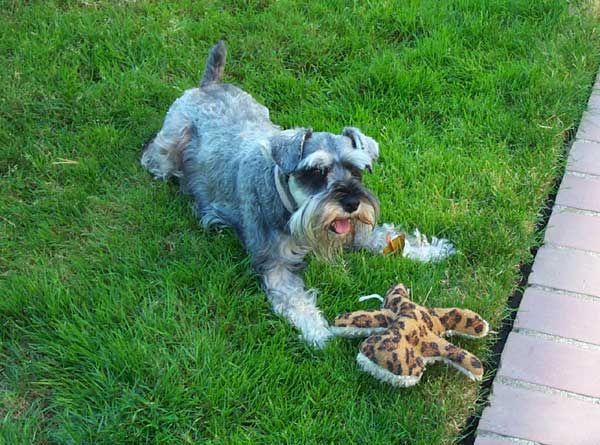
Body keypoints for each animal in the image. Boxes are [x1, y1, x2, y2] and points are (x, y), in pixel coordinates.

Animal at [141, 41, 452, 346]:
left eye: (356, 170)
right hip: (169, 146)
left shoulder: (357, 229)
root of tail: (208, 85)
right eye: (316, 172)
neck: (286, 202)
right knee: (153, 156)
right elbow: (295, 300)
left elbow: (386, 237)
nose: (352, 202)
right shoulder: (275, 264)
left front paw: (431, 250)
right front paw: (319, 332)